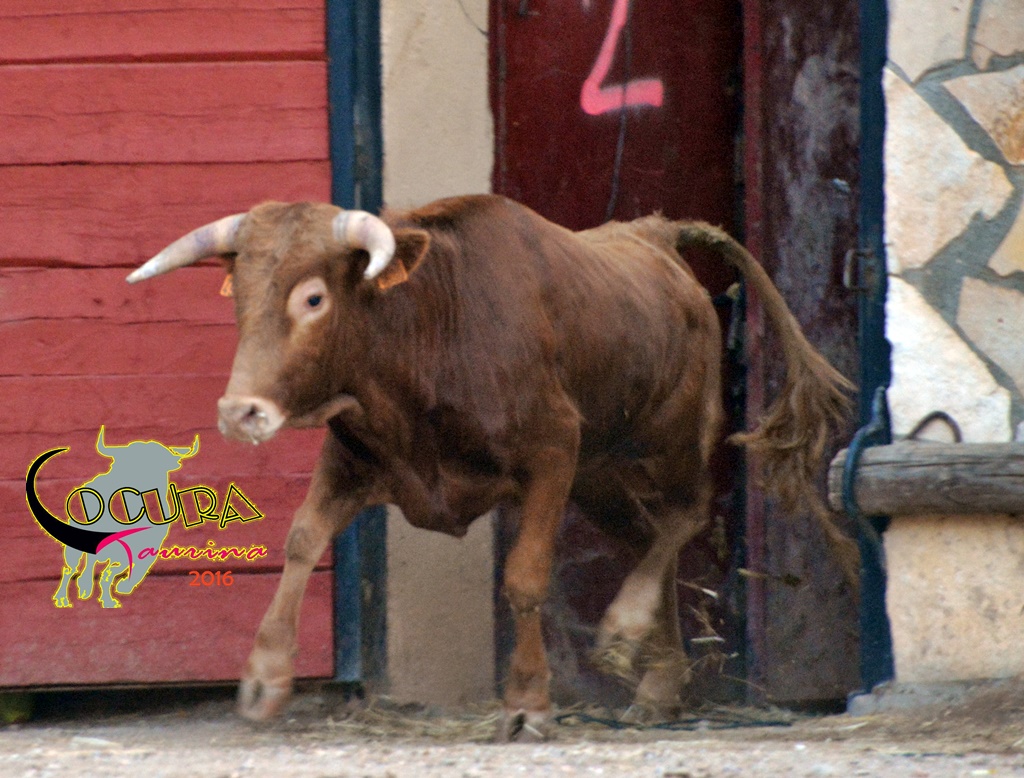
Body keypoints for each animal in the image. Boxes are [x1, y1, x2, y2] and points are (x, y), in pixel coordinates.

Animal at [126, 194, 853, 740]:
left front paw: (528, 704)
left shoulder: (553, 450)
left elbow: (525, 577)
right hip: (599, 478)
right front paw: (264, 677)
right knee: (651, 537)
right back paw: (659, 684)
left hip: (666, 438)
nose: (240, 412)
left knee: (686, 514)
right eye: (239, 296)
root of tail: (655, 235)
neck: (428, 332)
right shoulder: (354, 459)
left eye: (313, 299)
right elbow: (302, 540)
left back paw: (624, 631)